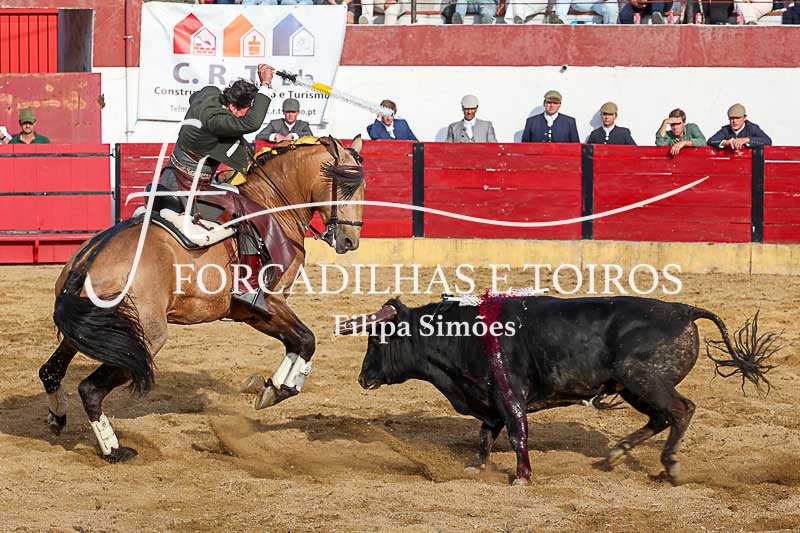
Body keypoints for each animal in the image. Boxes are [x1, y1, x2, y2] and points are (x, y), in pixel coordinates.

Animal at [38, 135, 366, 462]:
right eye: (347, 187)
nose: (350, 241)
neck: (272, 205)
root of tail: (87, 263)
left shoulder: (251, 314)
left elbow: (296, 343)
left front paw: (272, 387)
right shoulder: (268, 304)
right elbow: (307, 340)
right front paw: (277, 389)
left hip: (91, 333)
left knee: (50, 372)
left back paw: (58, 416)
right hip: (145, 338)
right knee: (90, 389)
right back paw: (115, 449)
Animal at [335, 295, 779, 485]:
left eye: (376, 339)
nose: (362, 377)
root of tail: (684, 311)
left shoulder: (509, 397)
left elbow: (517, 435)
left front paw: (521, 477)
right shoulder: (491, 400)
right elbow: (484, 436)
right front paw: (475, 466)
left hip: (643, 379)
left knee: (681, 410)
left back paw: (669, 465)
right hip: (634, 387)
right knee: (660, 416)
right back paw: (615, 454)